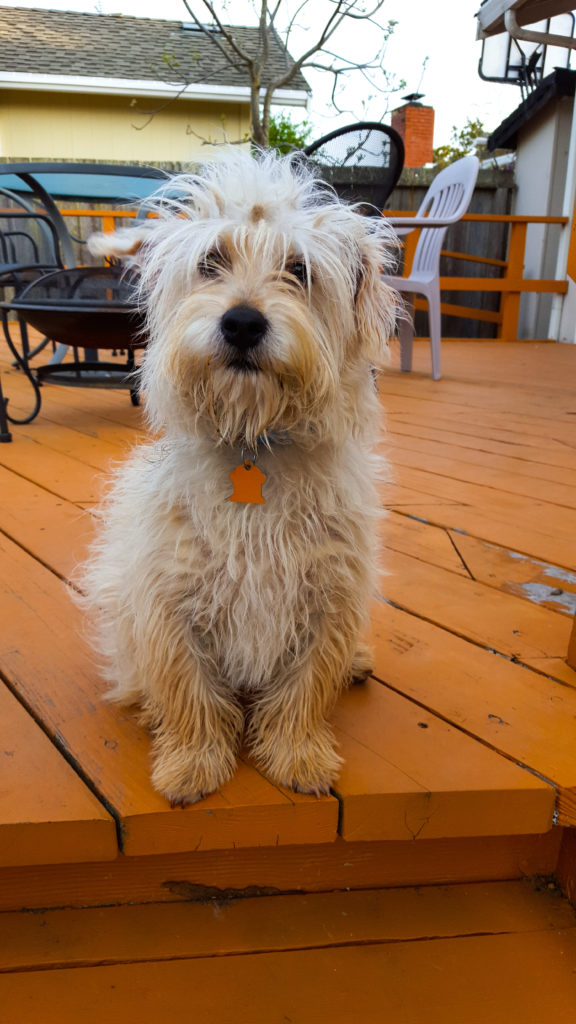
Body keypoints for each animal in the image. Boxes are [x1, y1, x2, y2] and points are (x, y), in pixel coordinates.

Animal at [79, 149, 393, 806]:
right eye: (210, 262)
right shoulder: (169, 597)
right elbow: (187, 687)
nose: (243, 323)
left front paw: (298, 755)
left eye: (298, 269)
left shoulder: (329, 592)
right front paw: (193, 763)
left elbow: (306, 687)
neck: (255, 440)